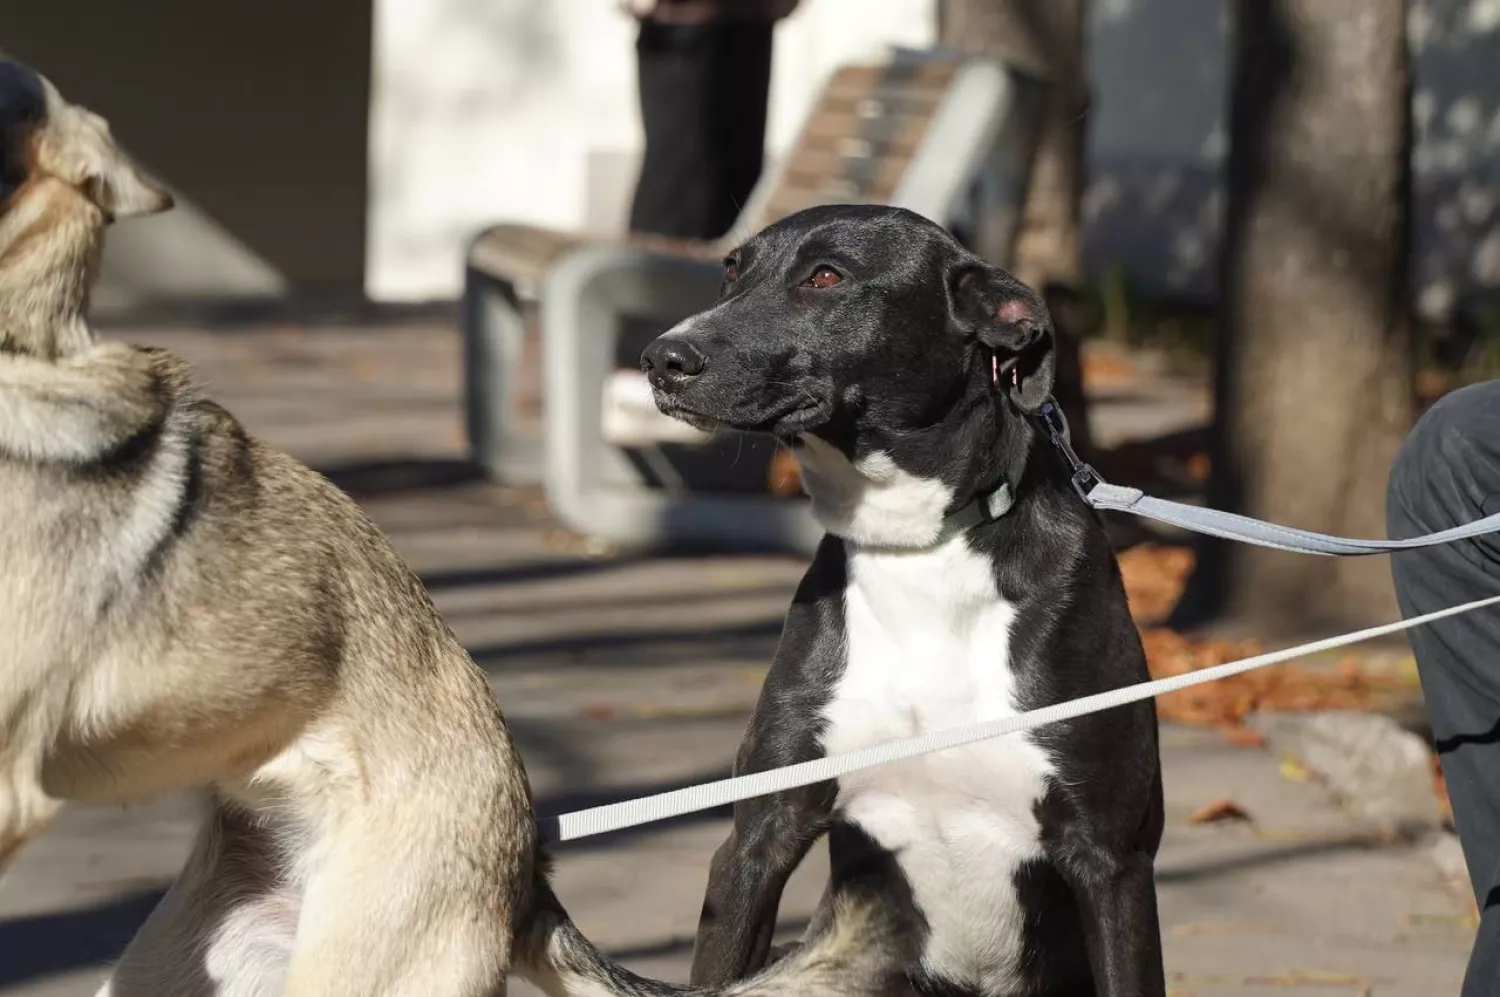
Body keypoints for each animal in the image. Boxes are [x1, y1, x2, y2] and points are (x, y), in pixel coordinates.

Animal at [639, 202, 1164, 995]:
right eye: (731, 270)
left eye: (827, 277)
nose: (662, 358)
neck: (918, 545)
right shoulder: (756, 842)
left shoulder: (1113, 860)